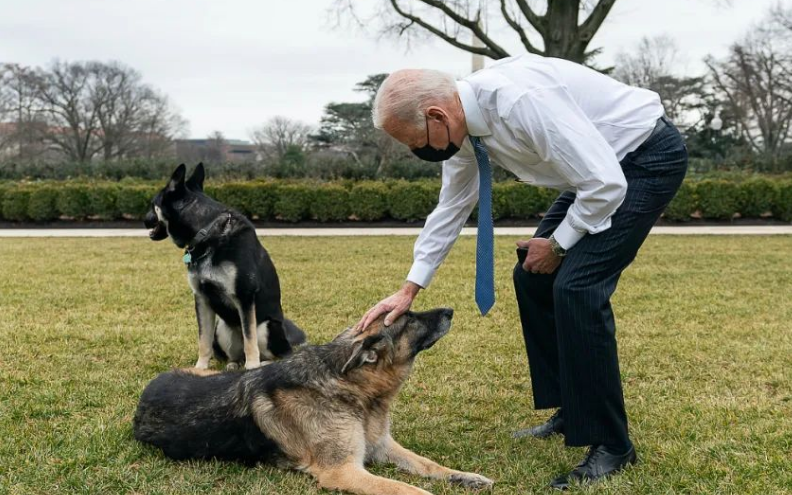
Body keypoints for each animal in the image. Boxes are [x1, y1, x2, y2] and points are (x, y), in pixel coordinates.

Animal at [144, 165, 304, 370]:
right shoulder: (201, 298)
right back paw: (234, 364)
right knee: (235, 354)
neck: (207, 232)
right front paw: (200, 368)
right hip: (222, 327)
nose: (144, 220)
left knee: (274, 353)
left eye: (153, 204)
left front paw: (252, 368)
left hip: (266, 327)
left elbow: (250, 340)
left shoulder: (245, 297)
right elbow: (203, 340)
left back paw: (261, 363)